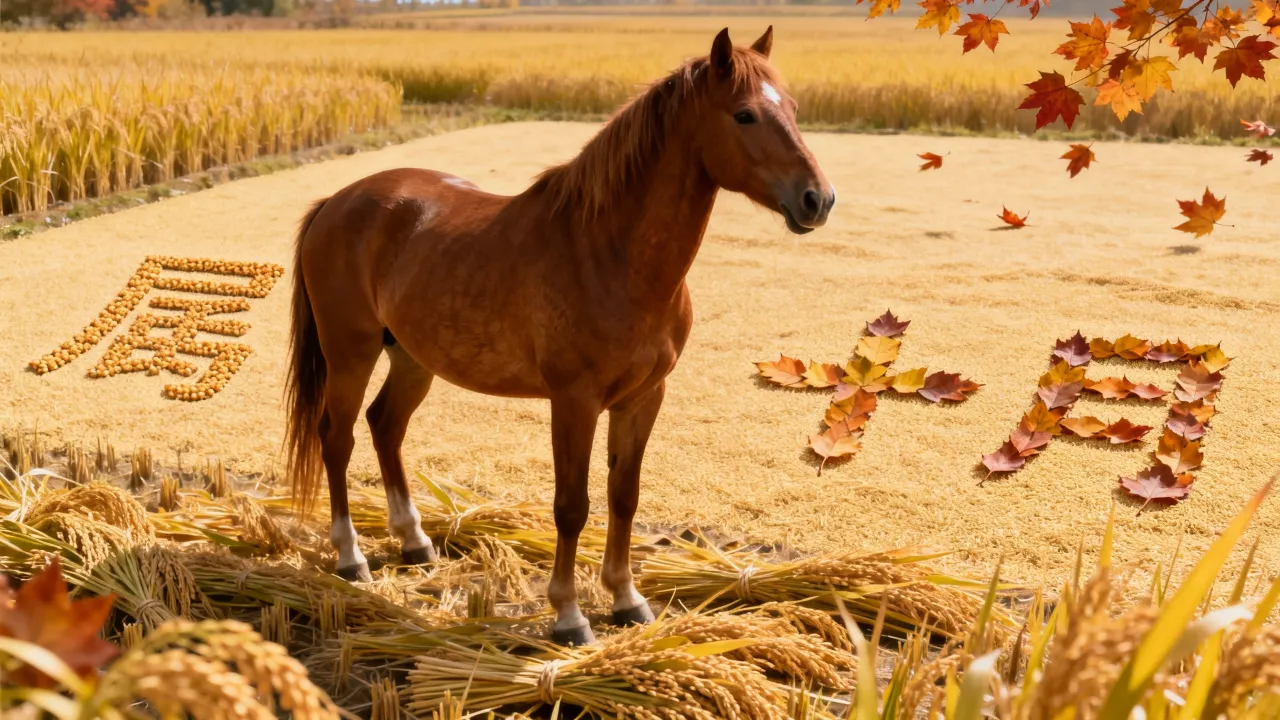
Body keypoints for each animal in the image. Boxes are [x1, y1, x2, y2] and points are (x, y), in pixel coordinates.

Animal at [284, 26, 834, 646]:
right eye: (744, 114)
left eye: (792, 109)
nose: (818, 199)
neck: (610, 254)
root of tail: (336, 202)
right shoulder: (574, 401)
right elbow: (572, 505)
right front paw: (569, 616)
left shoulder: (643, 398)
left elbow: (624, 496)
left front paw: (626, 599)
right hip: (349, 353)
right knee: (338, 438)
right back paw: (350, 557)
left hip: (412, 357)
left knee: (385, 426)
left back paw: (414, 541)